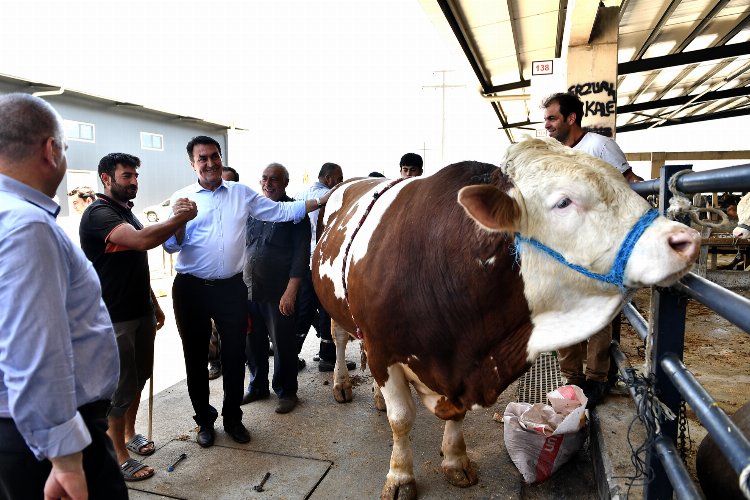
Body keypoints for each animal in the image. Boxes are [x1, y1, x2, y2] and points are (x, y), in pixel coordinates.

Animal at [314, 138, 704, 500]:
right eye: (564, 202)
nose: (686, 239)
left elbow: (455, 417)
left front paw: (455, 460)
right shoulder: (385, 349)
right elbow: (401, 419)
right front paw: (400, 476)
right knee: (341, 338)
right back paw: (342, 384)